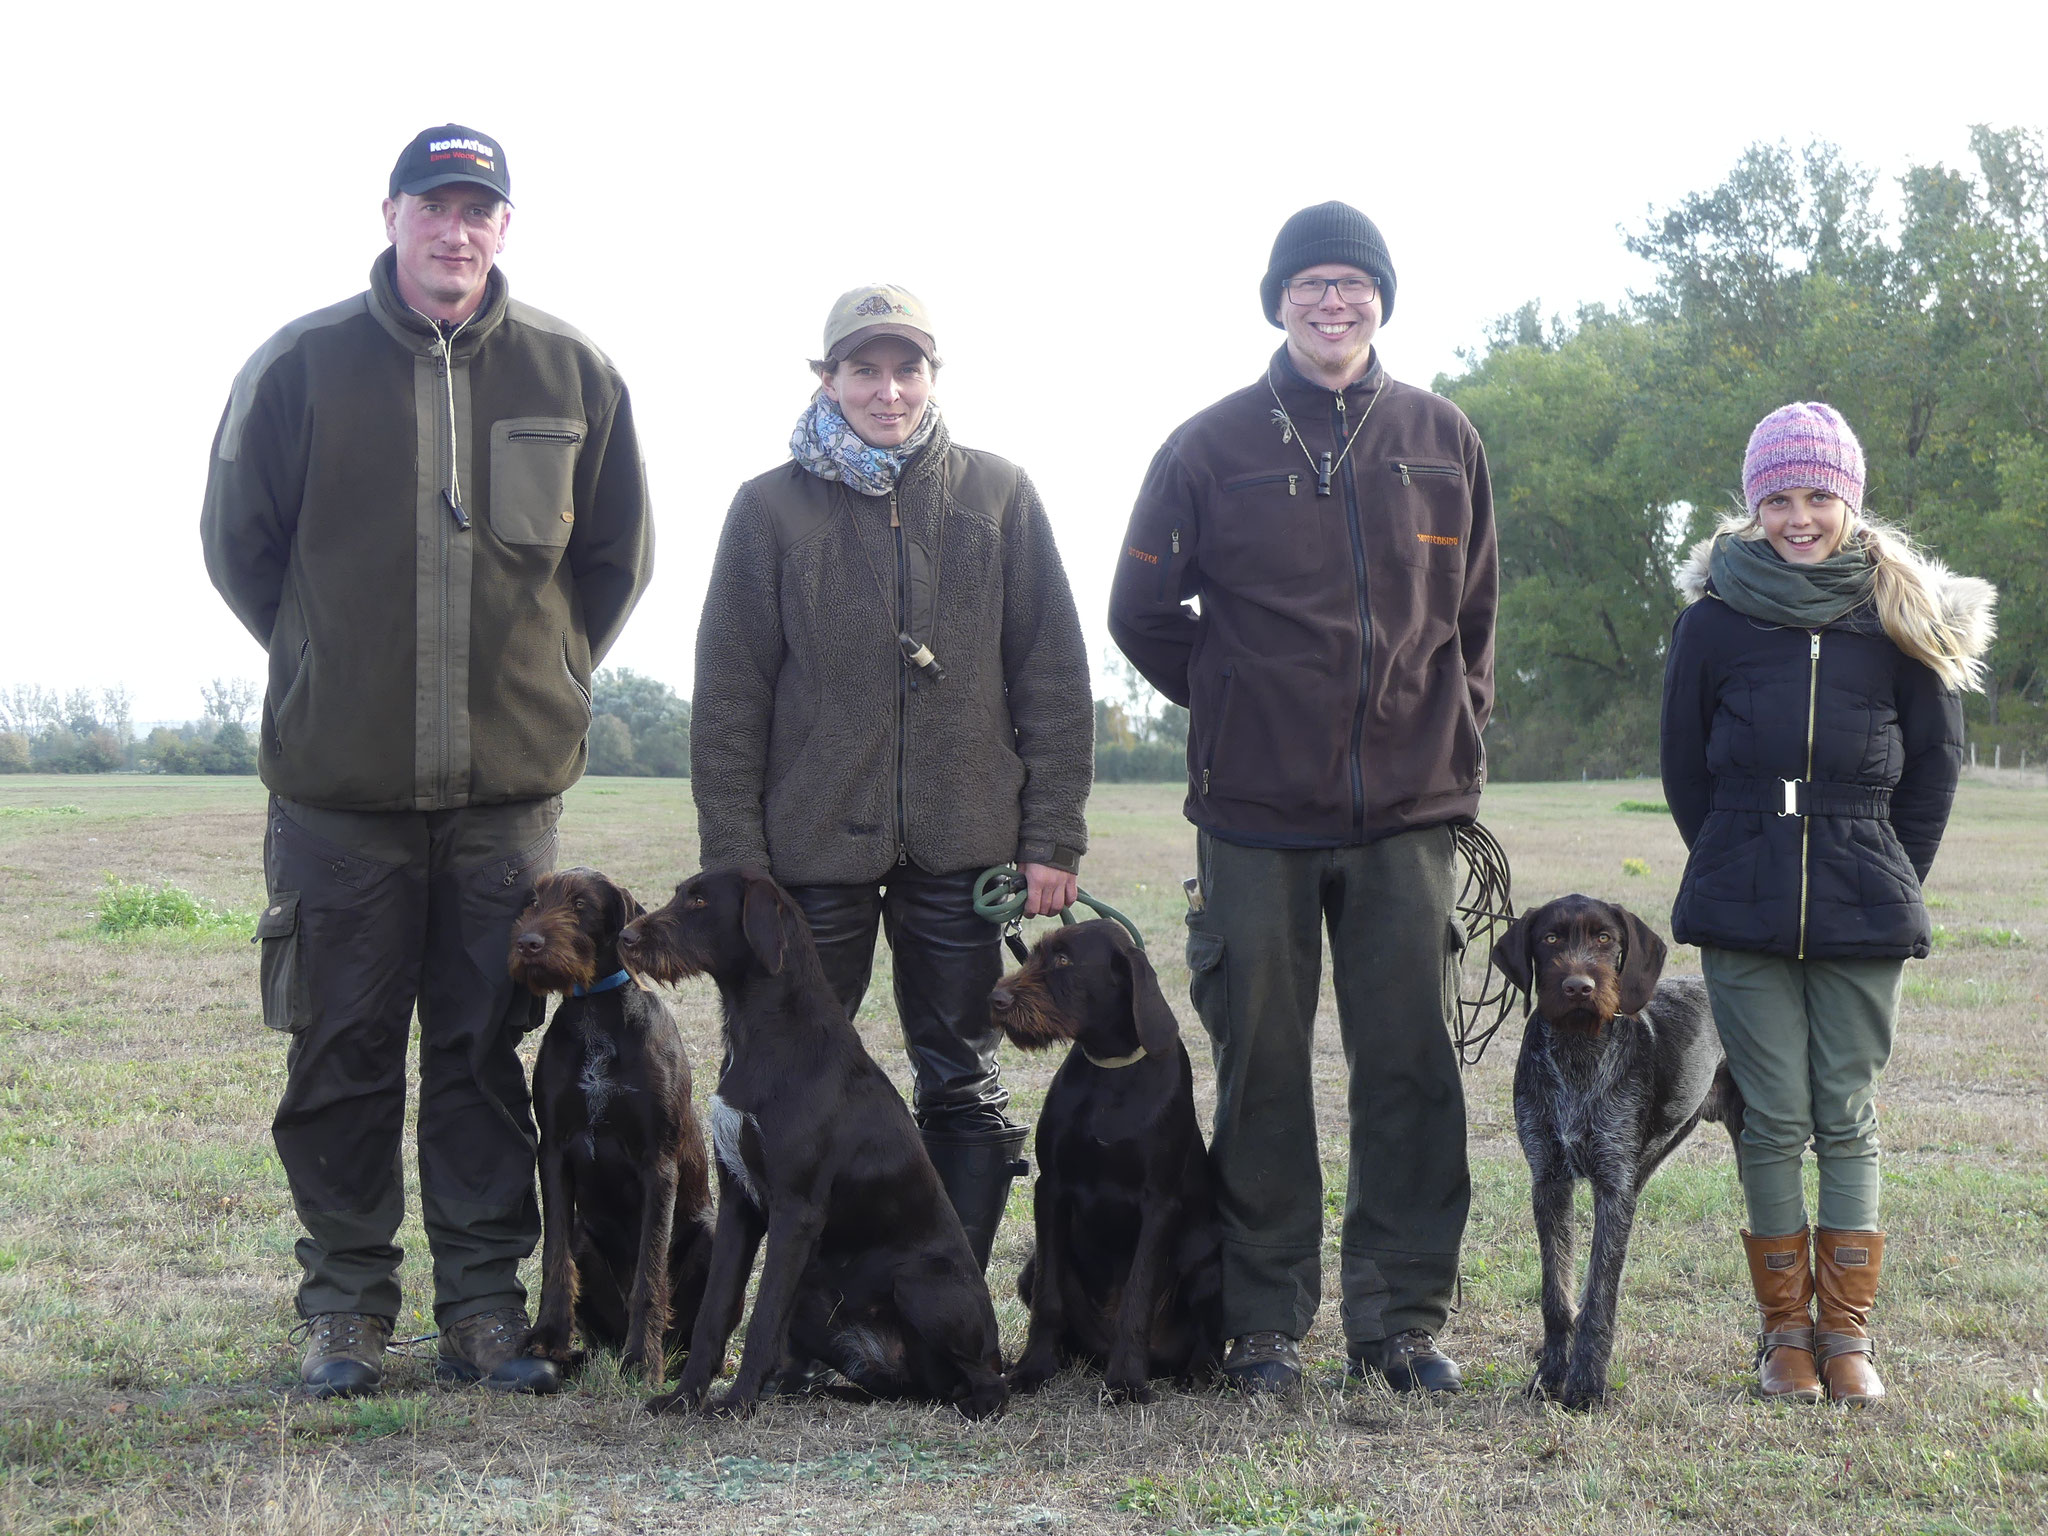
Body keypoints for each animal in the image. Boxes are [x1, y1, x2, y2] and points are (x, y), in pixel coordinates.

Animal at [507, 872, 716, 1392]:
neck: (595, 1014)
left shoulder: (658, 1163)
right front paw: (548, 1338)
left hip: (712, 1234)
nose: (527, 943)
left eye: (581, 904)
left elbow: (650, 1273)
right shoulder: (554, 1153)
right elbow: (555, 1258)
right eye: (534, 901)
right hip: (588, 1239)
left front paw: (643, 1360)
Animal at [618, 872, 1011, 1425]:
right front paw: (684, 1397)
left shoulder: (796, 1210)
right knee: (908, 1387)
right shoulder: (738, 1202)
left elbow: (762, 1319)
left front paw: (736, 1403)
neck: (768, 1029)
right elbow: (716, 1312)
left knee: (987, 1382)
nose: (625, 938)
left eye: (699, 900)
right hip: (813, 1302)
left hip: (921, 1284)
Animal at [987, 925, 1212, 1409]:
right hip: (1029, 1268)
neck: (1111, 1073)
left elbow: (1137, 1299)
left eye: (1064, 961)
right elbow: (1049, 1299)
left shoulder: (1159, 1205)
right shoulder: (1051, 1189)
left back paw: (1198, 1372)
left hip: (1209, 1264)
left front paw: (1126, 1382)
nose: (995, 999)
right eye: (1033, 954)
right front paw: (1033, 1369)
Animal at [1490, 897, 1744, 1417]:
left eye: (1605, 938)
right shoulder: (1549, 1179)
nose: (1578, 986)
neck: (1577, 1052)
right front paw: (1550, 1376)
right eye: (1549, 938)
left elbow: (1600, 1297)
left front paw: (1587, 1385)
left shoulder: (1612, 1188)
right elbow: (1557, 1294)